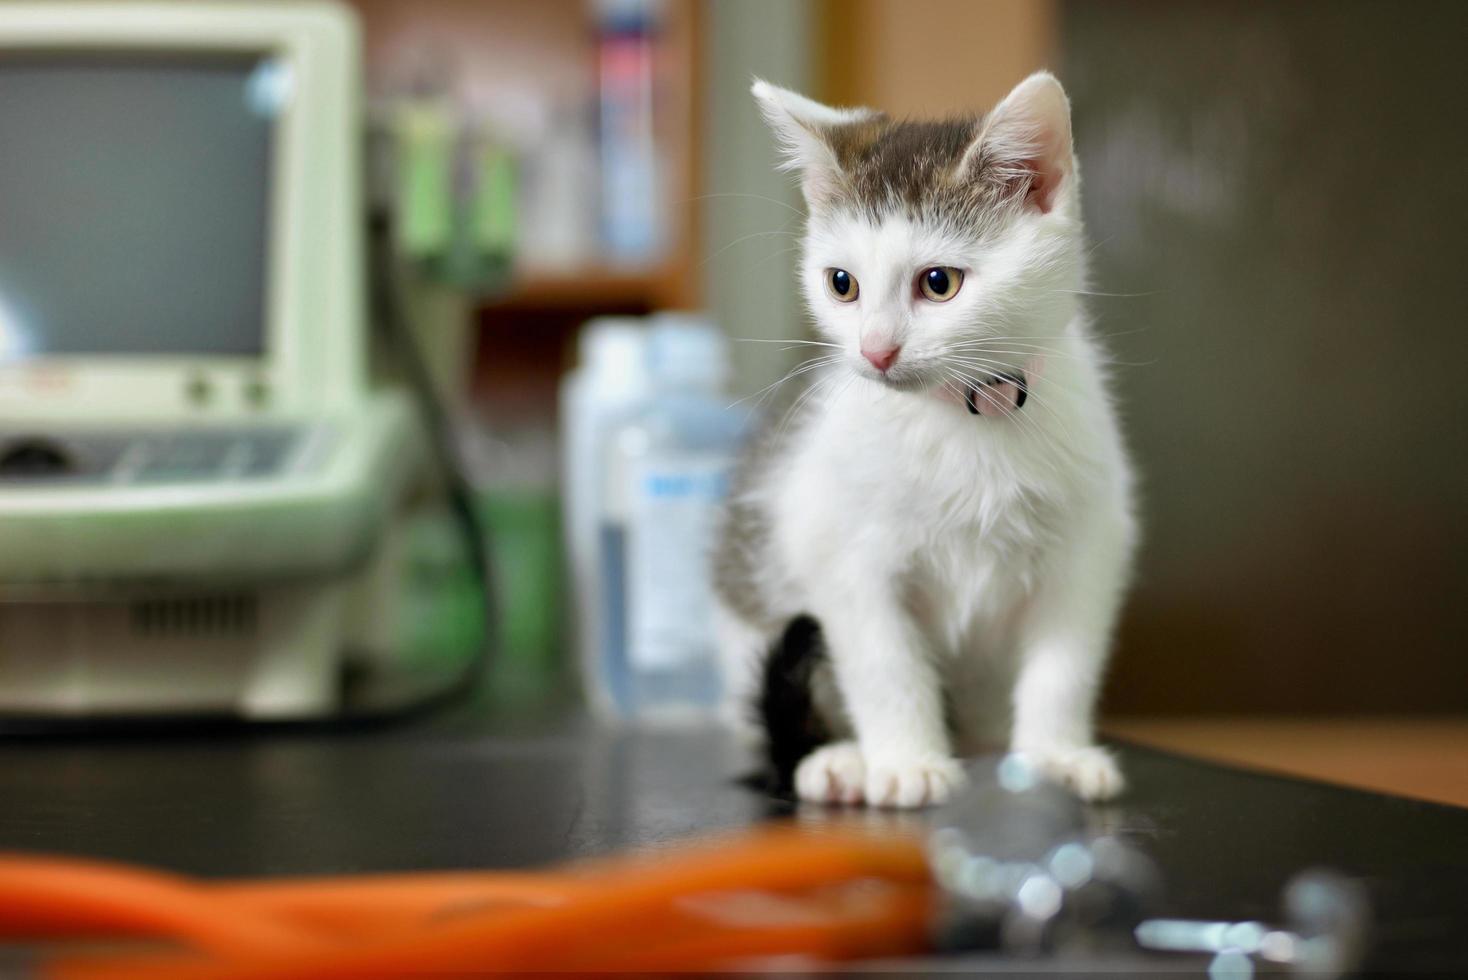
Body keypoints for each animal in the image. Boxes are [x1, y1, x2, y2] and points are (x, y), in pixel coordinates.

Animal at [710, 74, 1133, 809]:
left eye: (940, 282)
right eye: (841, 284)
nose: (875, 351)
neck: (964, 417)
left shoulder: (1090, 543)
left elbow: (1065, 663)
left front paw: (1056, 755)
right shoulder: (843, 553)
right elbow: (884, 662)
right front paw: (907, 760)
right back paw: (840, 760)